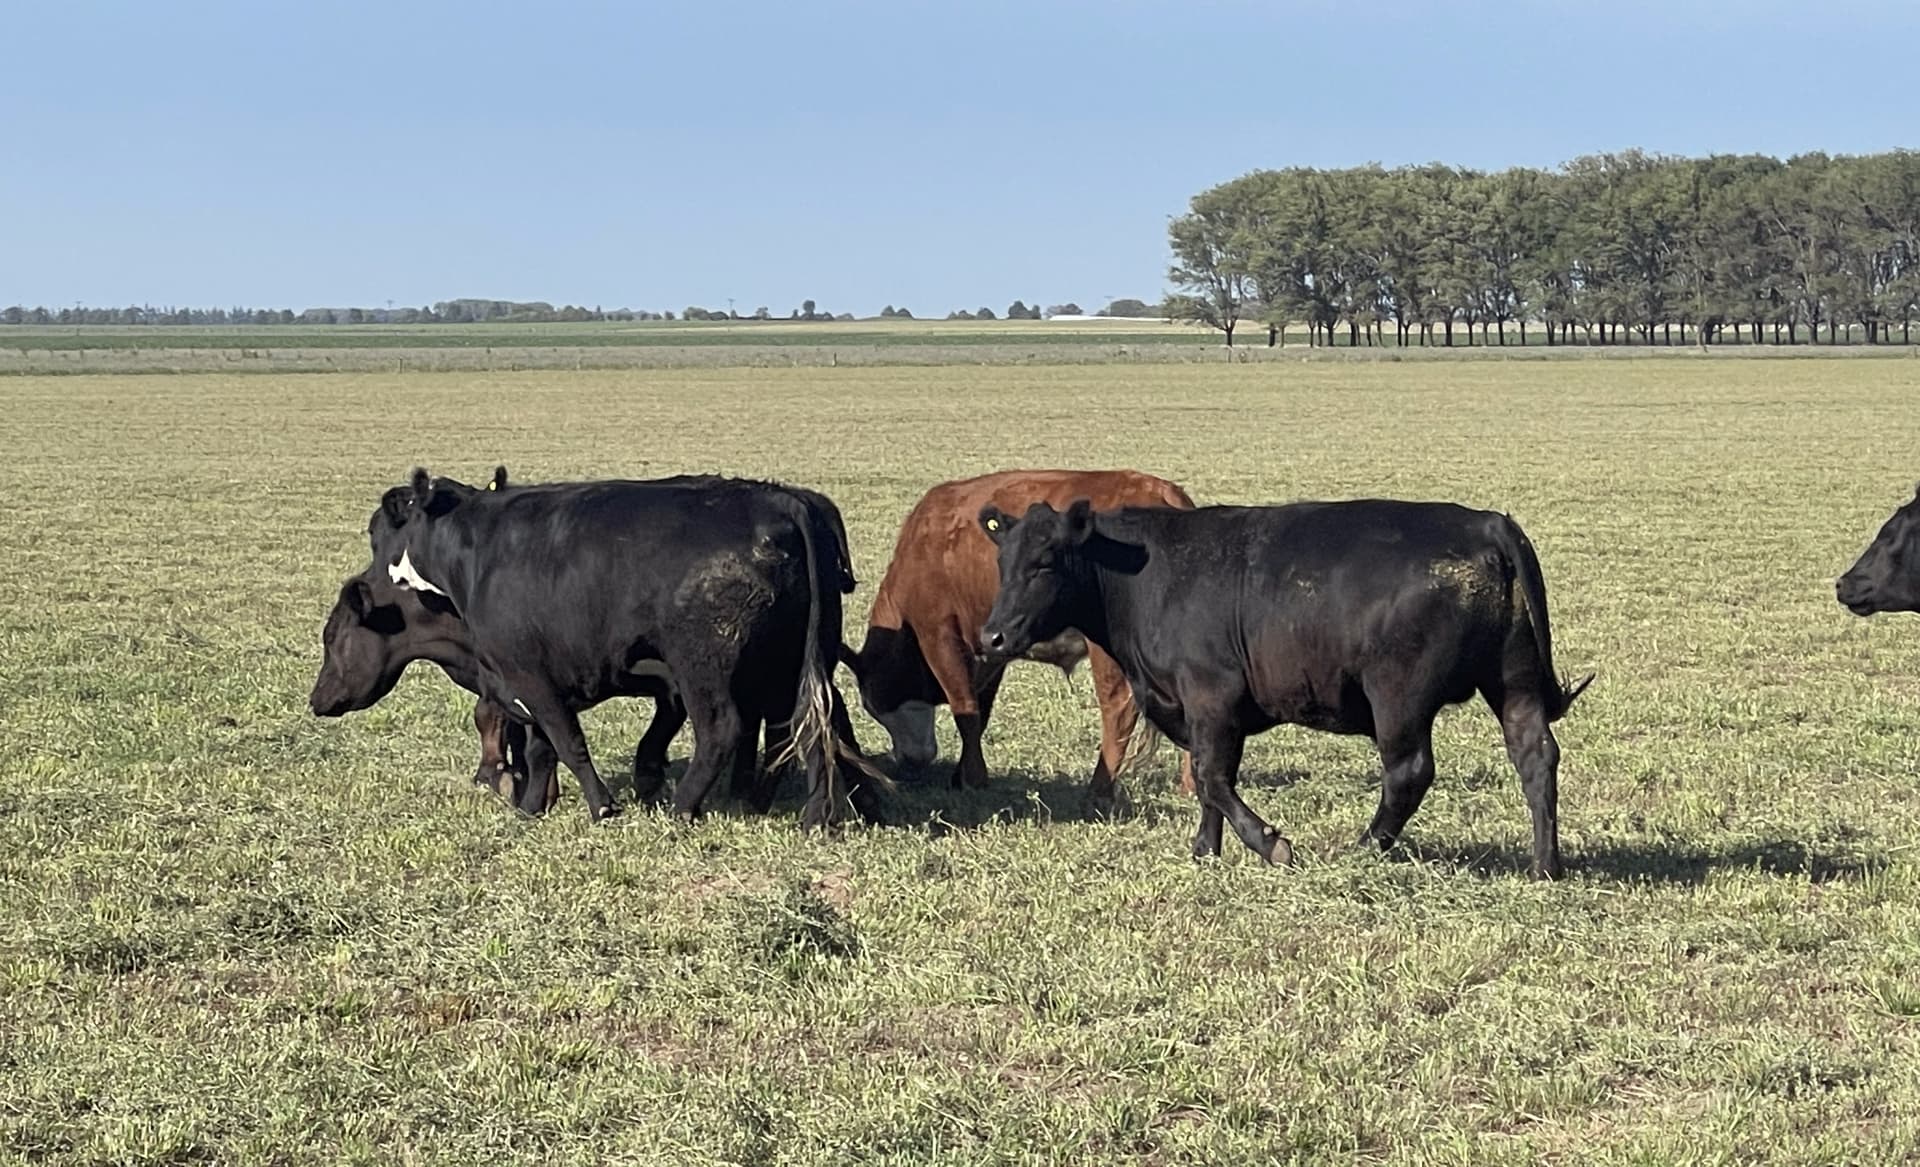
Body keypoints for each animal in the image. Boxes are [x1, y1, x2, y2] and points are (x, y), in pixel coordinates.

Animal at [376, 470, 883, 825]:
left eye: (381, 527)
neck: (479, 549)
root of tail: (782, 501)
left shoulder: (529, 676)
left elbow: (566, 740)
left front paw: (601, 806)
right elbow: (542, 747)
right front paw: (532, 806)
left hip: (705, 668)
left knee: (724, 730)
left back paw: (684, 808)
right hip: (795, 662)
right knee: (812, 724)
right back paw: (814, 816)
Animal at [844, 470, 1198, 806]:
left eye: (873, 705)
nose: (906, 761)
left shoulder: (938, 635)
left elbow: (965, 708)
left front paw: (972, 779)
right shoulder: (990, 646)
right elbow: (980, 712)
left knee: (1118, 710)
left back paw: (1099, 789)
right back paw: (1190, 785)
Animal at [975, 495, 1589, 879]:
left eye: (1045, 561)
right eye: (1002, 560)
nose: (992, 635)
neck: (1148, 574)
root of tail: (1485, 523)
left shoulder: (1211, 696)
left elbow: (1211, 775)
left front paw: (1271, 845)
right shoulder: (1201, 710)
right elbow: (1208, 780)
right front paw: (1205, 851)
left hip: (1399, 697)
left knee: (1408, 773)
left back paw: (1364, 847)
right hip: (1514, 682)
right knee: (1535, 757)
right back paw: (1545, 865)